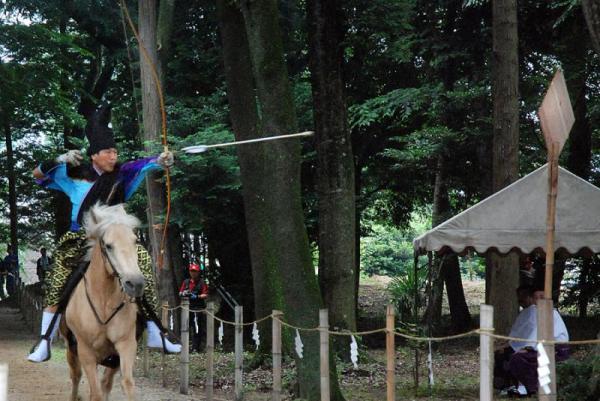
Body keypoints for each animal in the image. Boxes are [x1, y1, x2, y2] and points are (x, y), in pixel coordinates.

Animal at [60, 203, 145, 400]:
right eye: (108, 245)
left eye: (134, 241)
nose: (135, 283)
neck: (104, 303)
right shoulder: (86, 352)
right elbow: (95, 392)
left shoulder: (126, 345)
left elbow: (127, 384)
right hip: (71, 348)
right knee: (76, 376)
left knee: (106, 383)